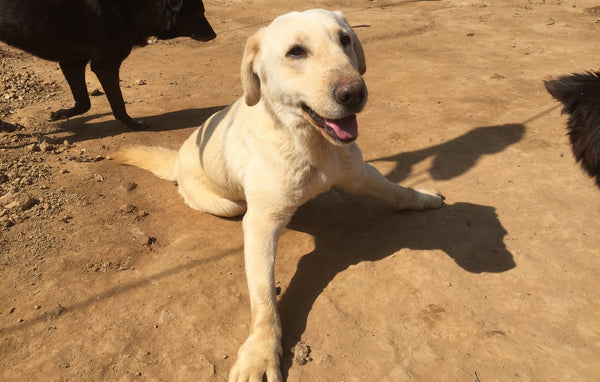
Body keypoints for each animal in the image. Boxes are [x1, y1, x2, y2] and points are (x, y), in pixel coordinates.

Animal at [0, 0, 216, 130]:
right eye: (199, 12)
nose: (214, 35)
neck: (132, 8)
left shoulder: (73, 63)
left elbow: (84, 103)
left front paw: (60, 114)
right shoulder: (105, 65)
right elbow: (118, 104)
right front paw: (133, 125)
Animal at [113, 8, 440, 382]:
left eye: (345, 39)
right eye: (295, 52)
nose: (354, 93)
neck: (307, 142)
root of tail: (178, 159)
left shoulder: (358, 175)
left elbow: (393, 190)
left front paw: (421, 197)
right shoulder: (260, 225)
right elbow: (264, 299)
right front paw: (261, 352)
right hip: (227, 204)